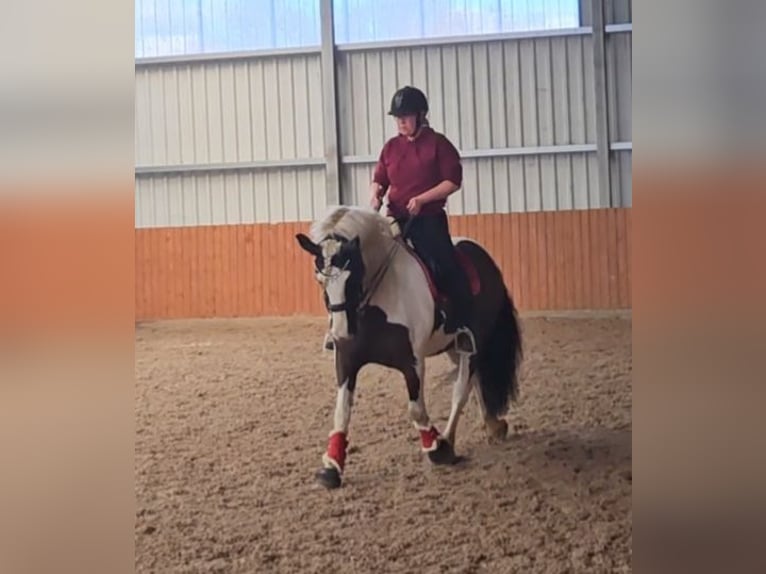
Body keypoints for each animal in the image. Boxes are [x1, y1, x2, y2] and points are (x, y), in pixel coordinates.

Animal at [294, 207, 520, 490]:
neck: (379, 301)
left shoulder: (412, 362)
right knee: (474, 381)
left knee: (461, 389)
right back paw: (489, 425)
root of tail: (487, 260)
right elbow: (341, 411)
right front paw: (331, 467)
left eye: (353, 276)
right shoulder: (346, 359)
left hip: (473, 343)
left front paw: (436, 449)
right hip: (453, 346)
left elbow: (416, 410)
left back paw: (448, 440)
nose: (341, 332)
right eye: (319, 279)